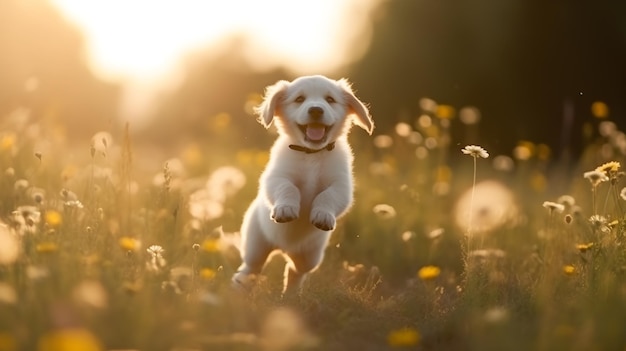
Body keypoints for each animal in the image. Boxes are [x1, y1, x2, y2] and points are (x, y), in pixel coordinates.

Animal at [233, 75, 370, 296]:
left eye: (330, 99)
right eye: (299, 99)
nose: (316, 110)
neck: (311, 153)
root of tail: (284, 247)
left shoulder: (341, 186)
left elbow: (327, 196)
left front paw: (322, 215)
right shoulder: (276, 177)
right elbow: (289, 188)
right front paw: (286, 209)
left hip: (310, 257)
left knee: (295, 271)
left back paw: (290, 296)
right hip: (256, 244)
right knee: (249, 269)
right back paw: (238, 289)